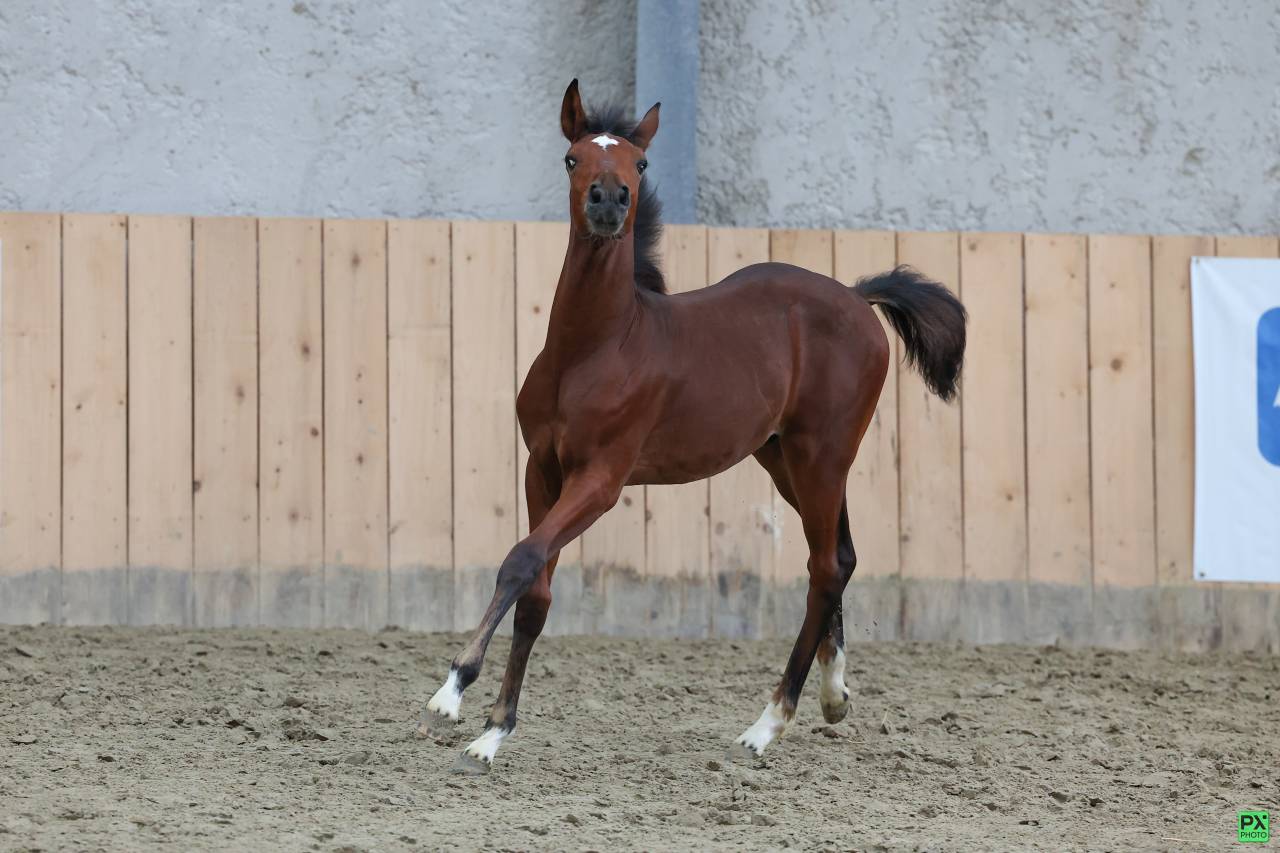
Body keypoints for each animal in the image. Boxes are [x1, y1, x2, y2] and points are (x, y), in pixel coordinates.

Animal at [420, 79, 967, 773]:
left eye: (640, 163)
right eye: (573, 159)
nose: (609, 202)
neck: (595, 348)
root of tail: (856, 296)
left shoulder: (600, 481)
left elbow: (520, 560)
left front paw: (452, 691)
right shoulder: (541, 469)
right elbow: (536, 591)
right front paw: (493, 731)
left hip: (822, 455)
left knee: (823, 568)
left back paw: (768, 724)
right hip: (783, 460)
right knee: (840, 555)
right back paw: (833, 695)